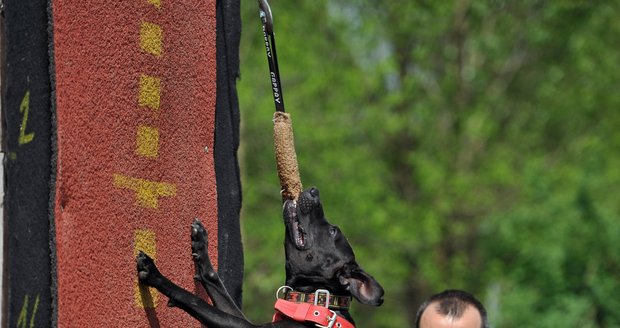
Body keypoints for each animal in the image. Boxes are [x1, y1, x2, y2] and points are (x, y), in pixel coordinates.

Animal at [136, 188, 382, 326]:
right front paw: (201, 245)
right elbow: (215, 282)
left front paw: (157, 276)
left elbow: (196, 301)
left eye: (333, 231)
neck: (316, 300)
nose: (314, 190)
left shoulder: (243, 327)